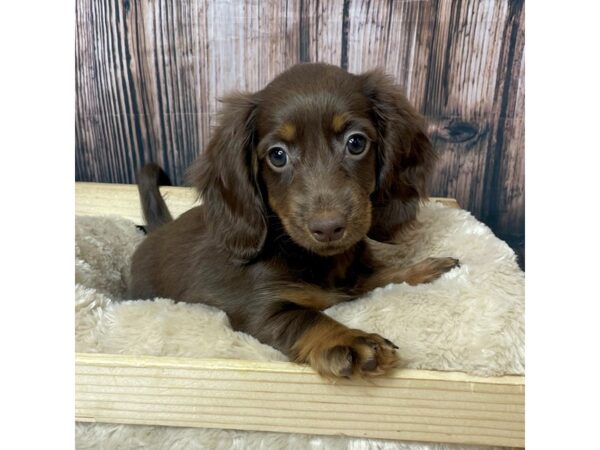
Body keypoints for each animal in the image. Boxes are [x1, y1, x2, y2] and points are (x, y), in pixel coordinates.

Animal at [130, 63, 460, 378]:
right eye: (277, 155)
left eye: (356, 143)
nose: (328, 228)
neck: (314, 259)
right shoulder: (259, 307)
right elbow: (306, 318)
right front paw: (349, 340)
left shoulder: (352, 283)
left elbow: (381, 275)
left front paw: (423, 268)